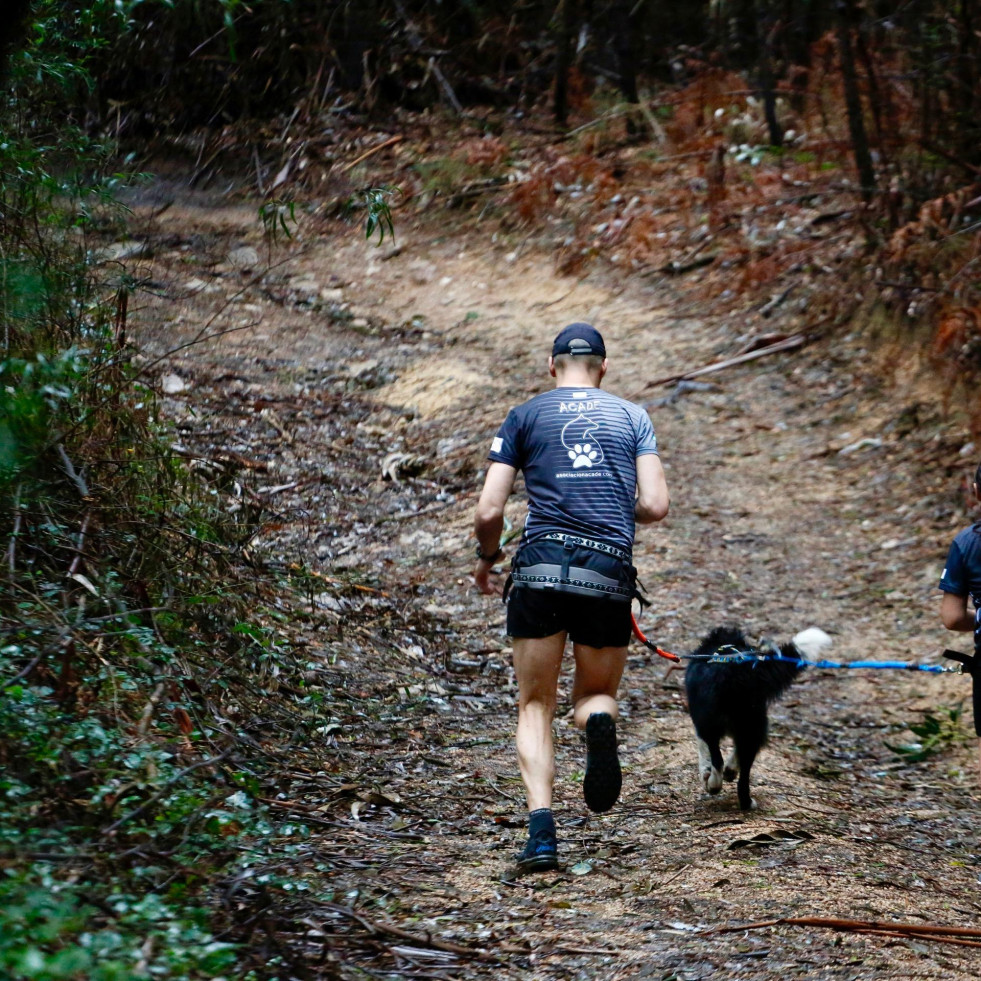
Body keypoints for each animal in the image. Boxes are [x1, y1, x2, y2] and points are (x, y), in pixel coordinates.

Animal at [684, 624, 832, 808]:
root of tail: (738, 674)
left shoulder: (701, 723)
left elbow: (703, 751)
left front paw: (707, 775)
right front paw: (730, 771)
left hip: (714, 724)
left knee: (718, 760)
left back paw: (715, 785)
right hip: (754, 725)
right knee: (745, 770)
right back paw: (746, 802)